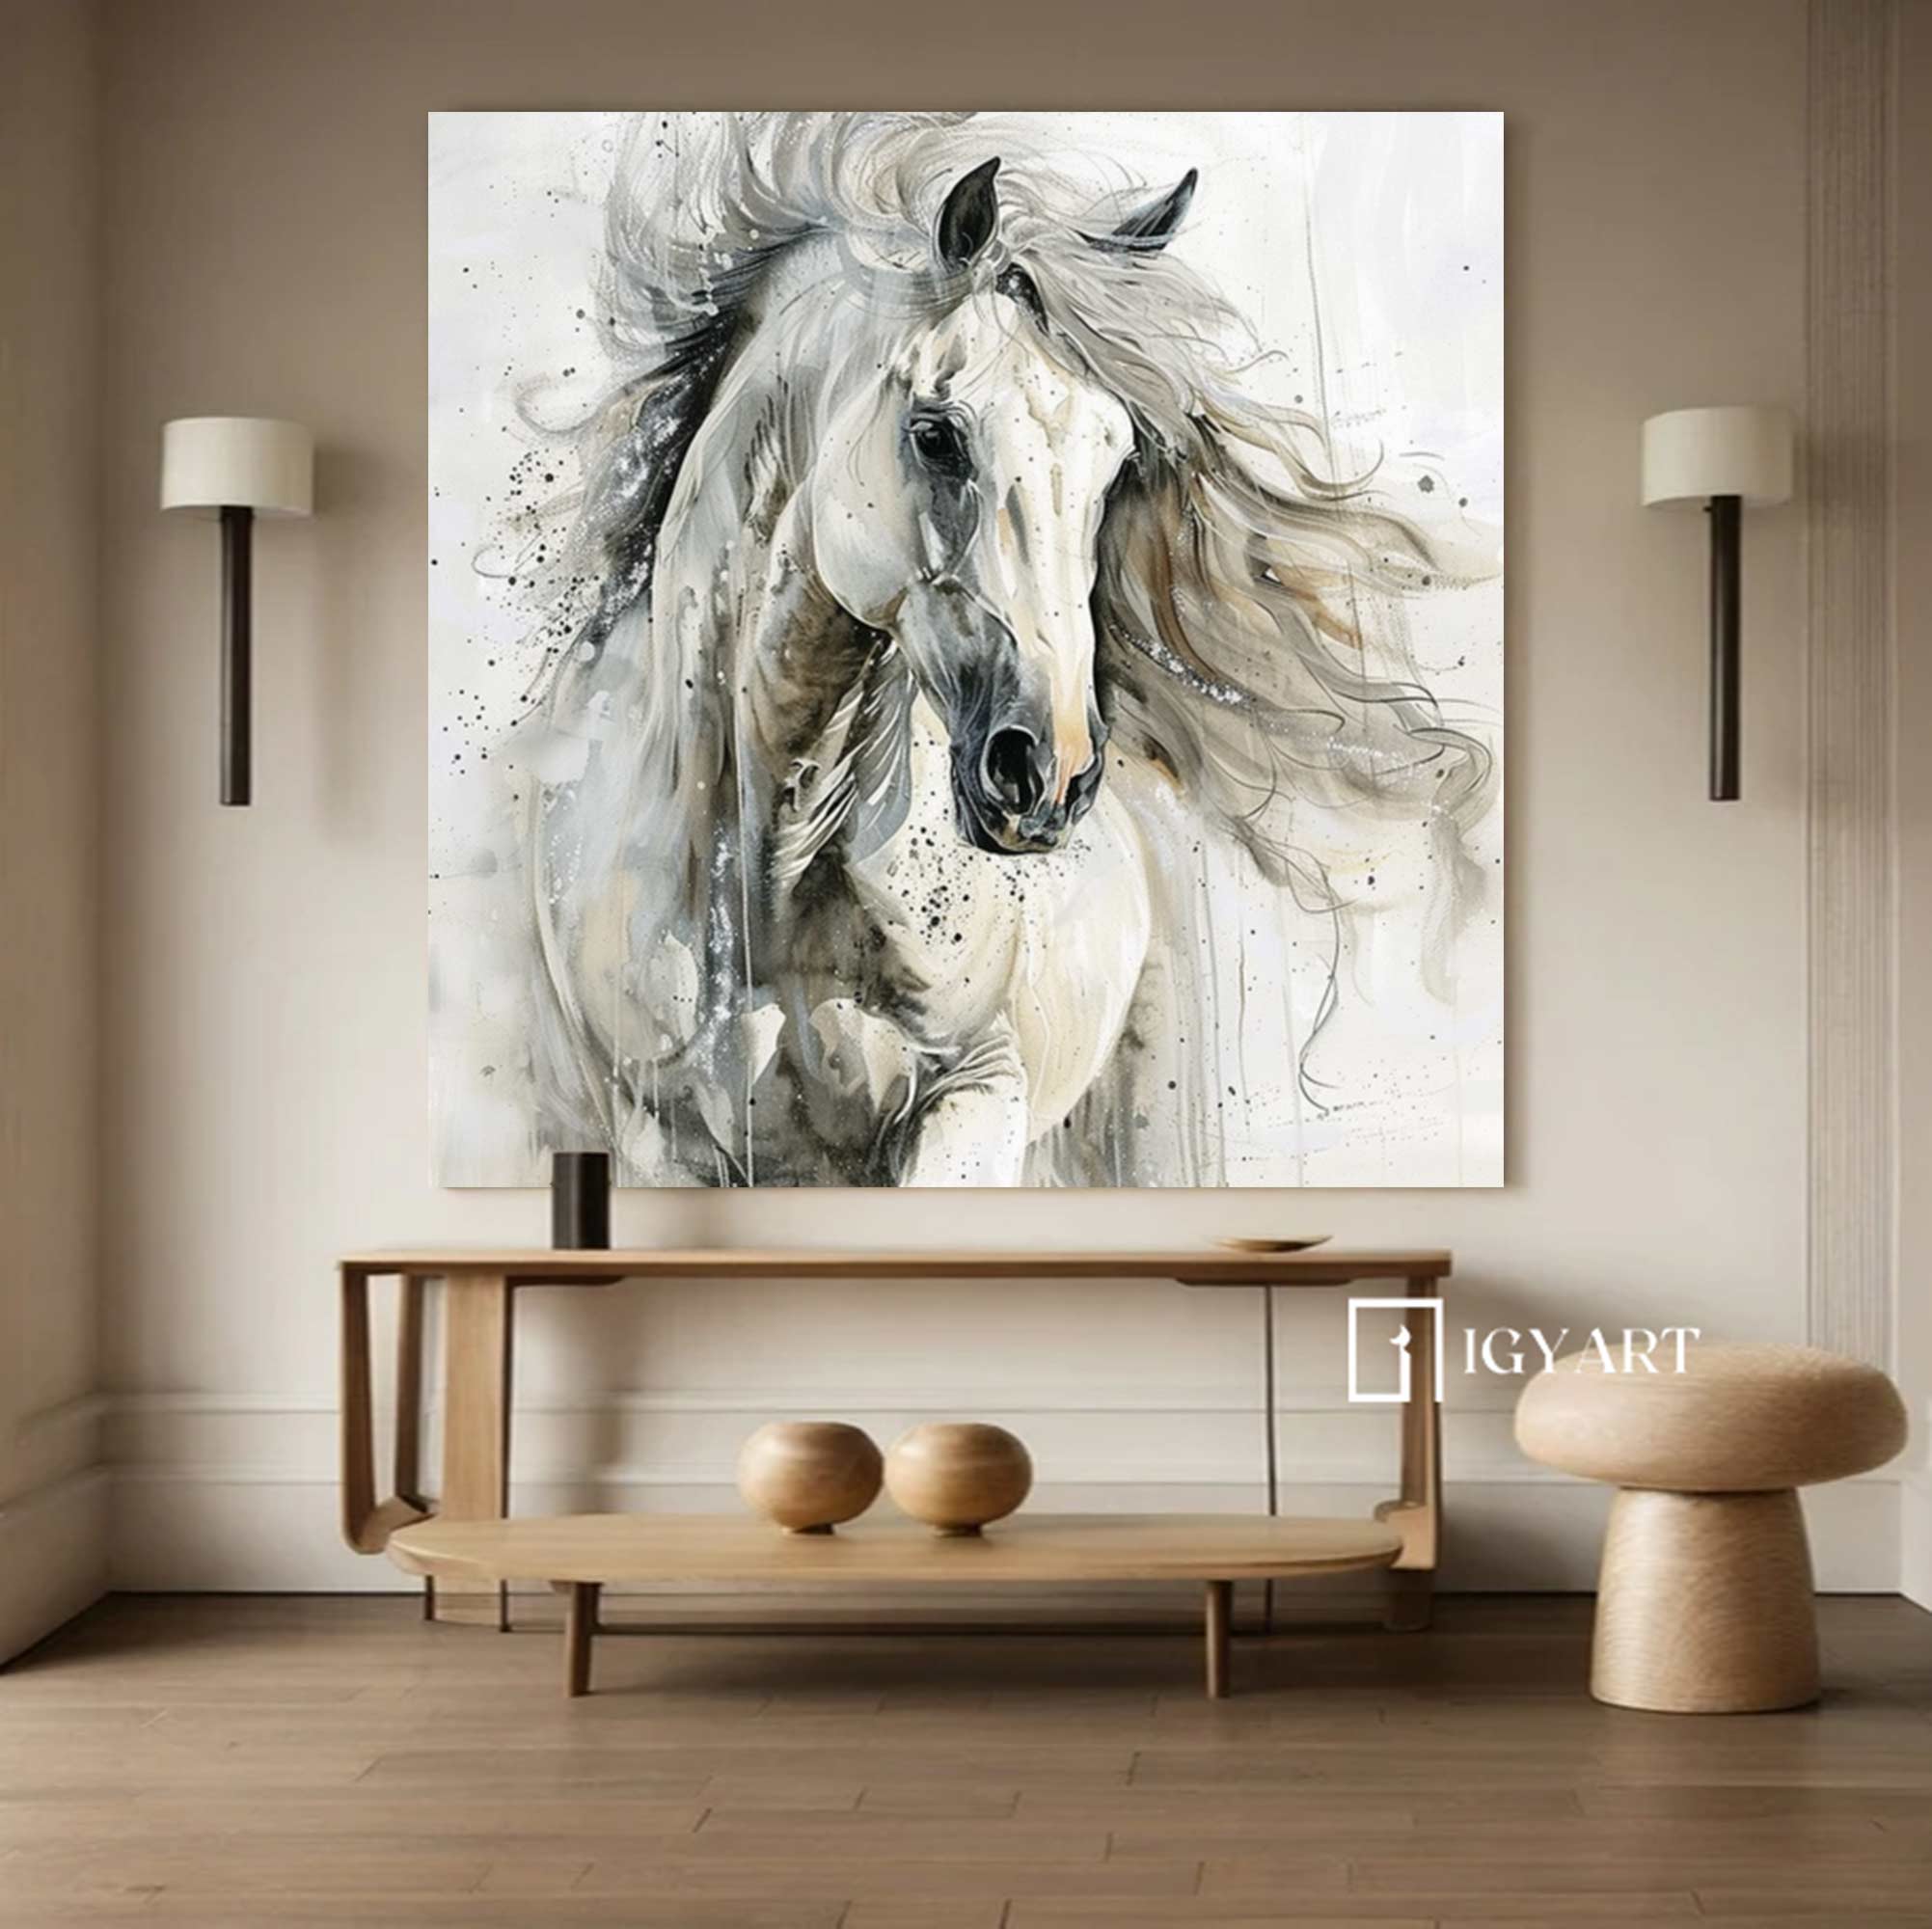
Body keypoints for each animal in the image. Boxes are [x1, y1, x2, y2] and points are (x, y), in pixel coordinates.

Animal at [512, 112, 1493, 1187]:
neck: (759, 871)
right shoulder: (659, 1140)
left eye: (1117, 454)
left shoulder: (971, 1101)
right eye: (937, 434)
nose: (1048, 774)